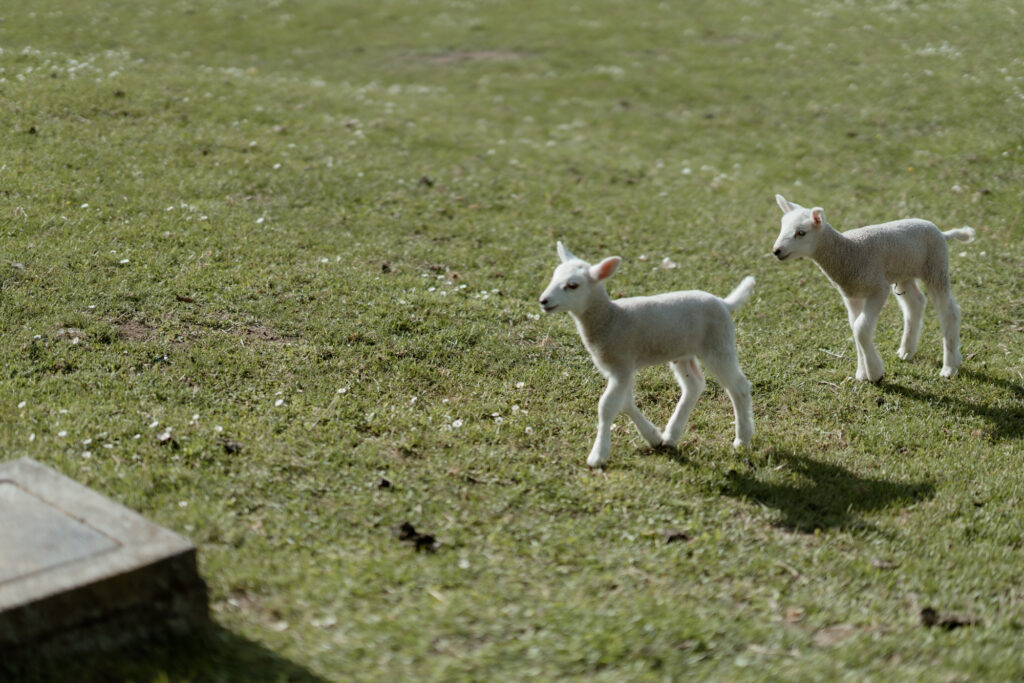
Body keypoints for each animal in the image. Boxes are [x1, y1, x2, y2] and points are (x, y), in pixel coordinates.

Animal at [538, 241, 755, 468]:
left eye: (573, 285)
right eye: (554, 277)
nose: (543, 301)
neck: (610, 318)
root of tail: (724, 303)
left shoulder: (621, 364)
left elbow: (607, 406)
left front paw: (597, 455)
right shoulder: (619, 368)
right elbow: (625, 403)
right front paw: (653, 437)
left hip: (718, 344)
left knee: (738, 386)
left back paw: (742, 439)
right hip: (682, 351)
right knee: (694, 385)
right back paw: (670, 436)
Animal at [772, 195, 975, 381]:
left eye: (801, 232)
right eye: (781, 228)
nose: (776, 251)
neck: (847, 252)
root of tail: (941, 232)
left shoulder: (878, 288)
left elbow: (861, 328)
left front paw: (874, 372)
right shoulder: (851, 294)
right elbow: (855, 327)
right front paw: (862, 372)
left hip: (935, 266)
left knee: (949, 311)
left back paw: (950, 367)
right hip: (904, 272)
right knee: (915, 304)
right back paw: (906, 351)